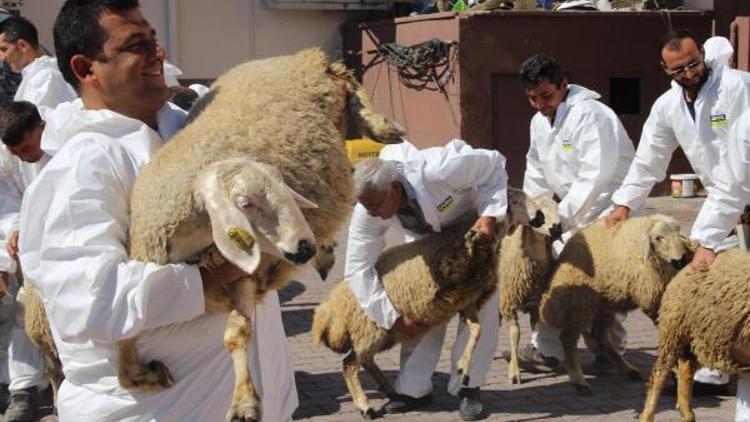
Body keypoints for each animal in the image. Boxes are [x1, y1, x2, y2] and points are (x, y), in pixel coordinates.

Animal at [117, 47, 406, 422]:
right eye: (246, 204)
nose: (303, 248)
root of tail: (280, 58)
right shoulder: (230, 268)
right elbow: (131, 327)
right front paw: (139, 375)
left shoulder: (239, 268)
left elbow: (236, 335)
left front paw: (244, 403)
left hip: (328, 82)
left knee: (348, 77)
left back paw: (382, 127)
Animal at [500, 195, 564, 386]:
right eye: (538, 215)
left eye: (558, 209)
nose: (557, 229)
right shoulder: (509, 304)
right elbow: (515, 335)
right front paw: (514, 373)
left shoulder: (536, 303)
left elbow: (536, 329)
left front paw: (540, 357)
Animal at [540, 214, 692, 396]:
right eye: (658, 238)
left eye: (679, 235)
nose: (679, 260)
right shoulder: (653, 301)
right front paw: (675, 370)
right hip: (580, 302)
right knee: (568, 338)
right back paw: (579, 381)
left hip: (604, 304)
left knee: (599, 335)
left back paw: (627, 369)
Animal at [640, 247, 750, 422]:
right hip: (674, 329)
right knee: (660, 372)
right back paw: (647, 415)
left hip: (699, 337)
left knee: (686, 368)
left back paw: (687, 414)